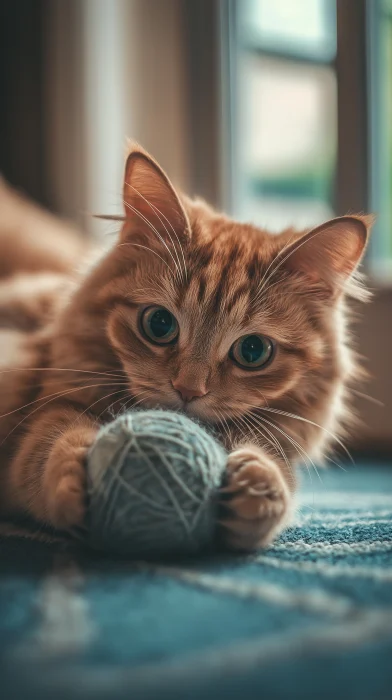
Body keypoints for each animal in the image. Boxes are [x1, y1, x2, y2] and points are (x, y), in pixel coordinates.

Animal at [0, 146, 370, 552]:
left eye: (253, 351)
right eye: (159, 324)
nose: (188, 390)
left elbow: (276, 471)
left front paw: (258, 489)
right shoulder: (48, 409)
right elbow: (52, 444)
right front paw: (74, 475)